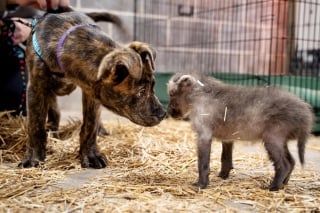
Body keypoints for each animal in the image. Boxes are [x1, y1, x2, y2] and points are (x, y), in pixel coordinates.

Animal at [20, 11, 166, 169]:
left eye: (153, 86)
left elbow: (90, 125)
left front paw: (90, 156)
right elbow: (36, 124)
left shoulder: (91, 92)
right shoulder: (36, 87)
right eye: (141, 92)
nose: (163, 114)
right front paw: (33, 158)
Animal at [168, 72, 316, 191]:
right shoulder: (227, 138)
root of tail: (305, 114)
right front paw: (223, 176)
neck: (199, 94)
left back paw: (273, 187)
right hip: (281, 140)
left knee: (283, 165)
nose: (169, 113)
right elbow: (225, 159)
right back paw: (283, 184)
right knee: (291, 162)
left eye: (172, 94)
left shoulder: (204, 136)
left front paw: (201, 184)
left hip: (272, 139)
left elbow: (203, 164)